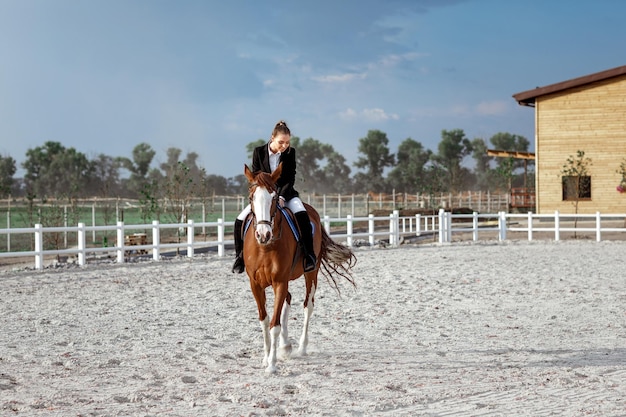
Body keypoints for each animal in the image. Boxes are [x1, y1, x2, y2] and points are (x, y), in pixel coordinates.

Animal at [240, 163, 354, 374]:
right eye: (251, 198)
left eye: (274, 197)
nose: (263, 234)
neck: (265, 248)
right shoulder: (256, 285)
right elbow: (264, 321)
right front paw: (266, 358)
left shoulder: (279, 282)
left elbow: (274, 324)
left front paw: (272, 365)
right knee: (288, 300)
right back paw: (285, 346)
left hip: (311, 274)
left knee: (307, 306)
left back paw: (301, 347)